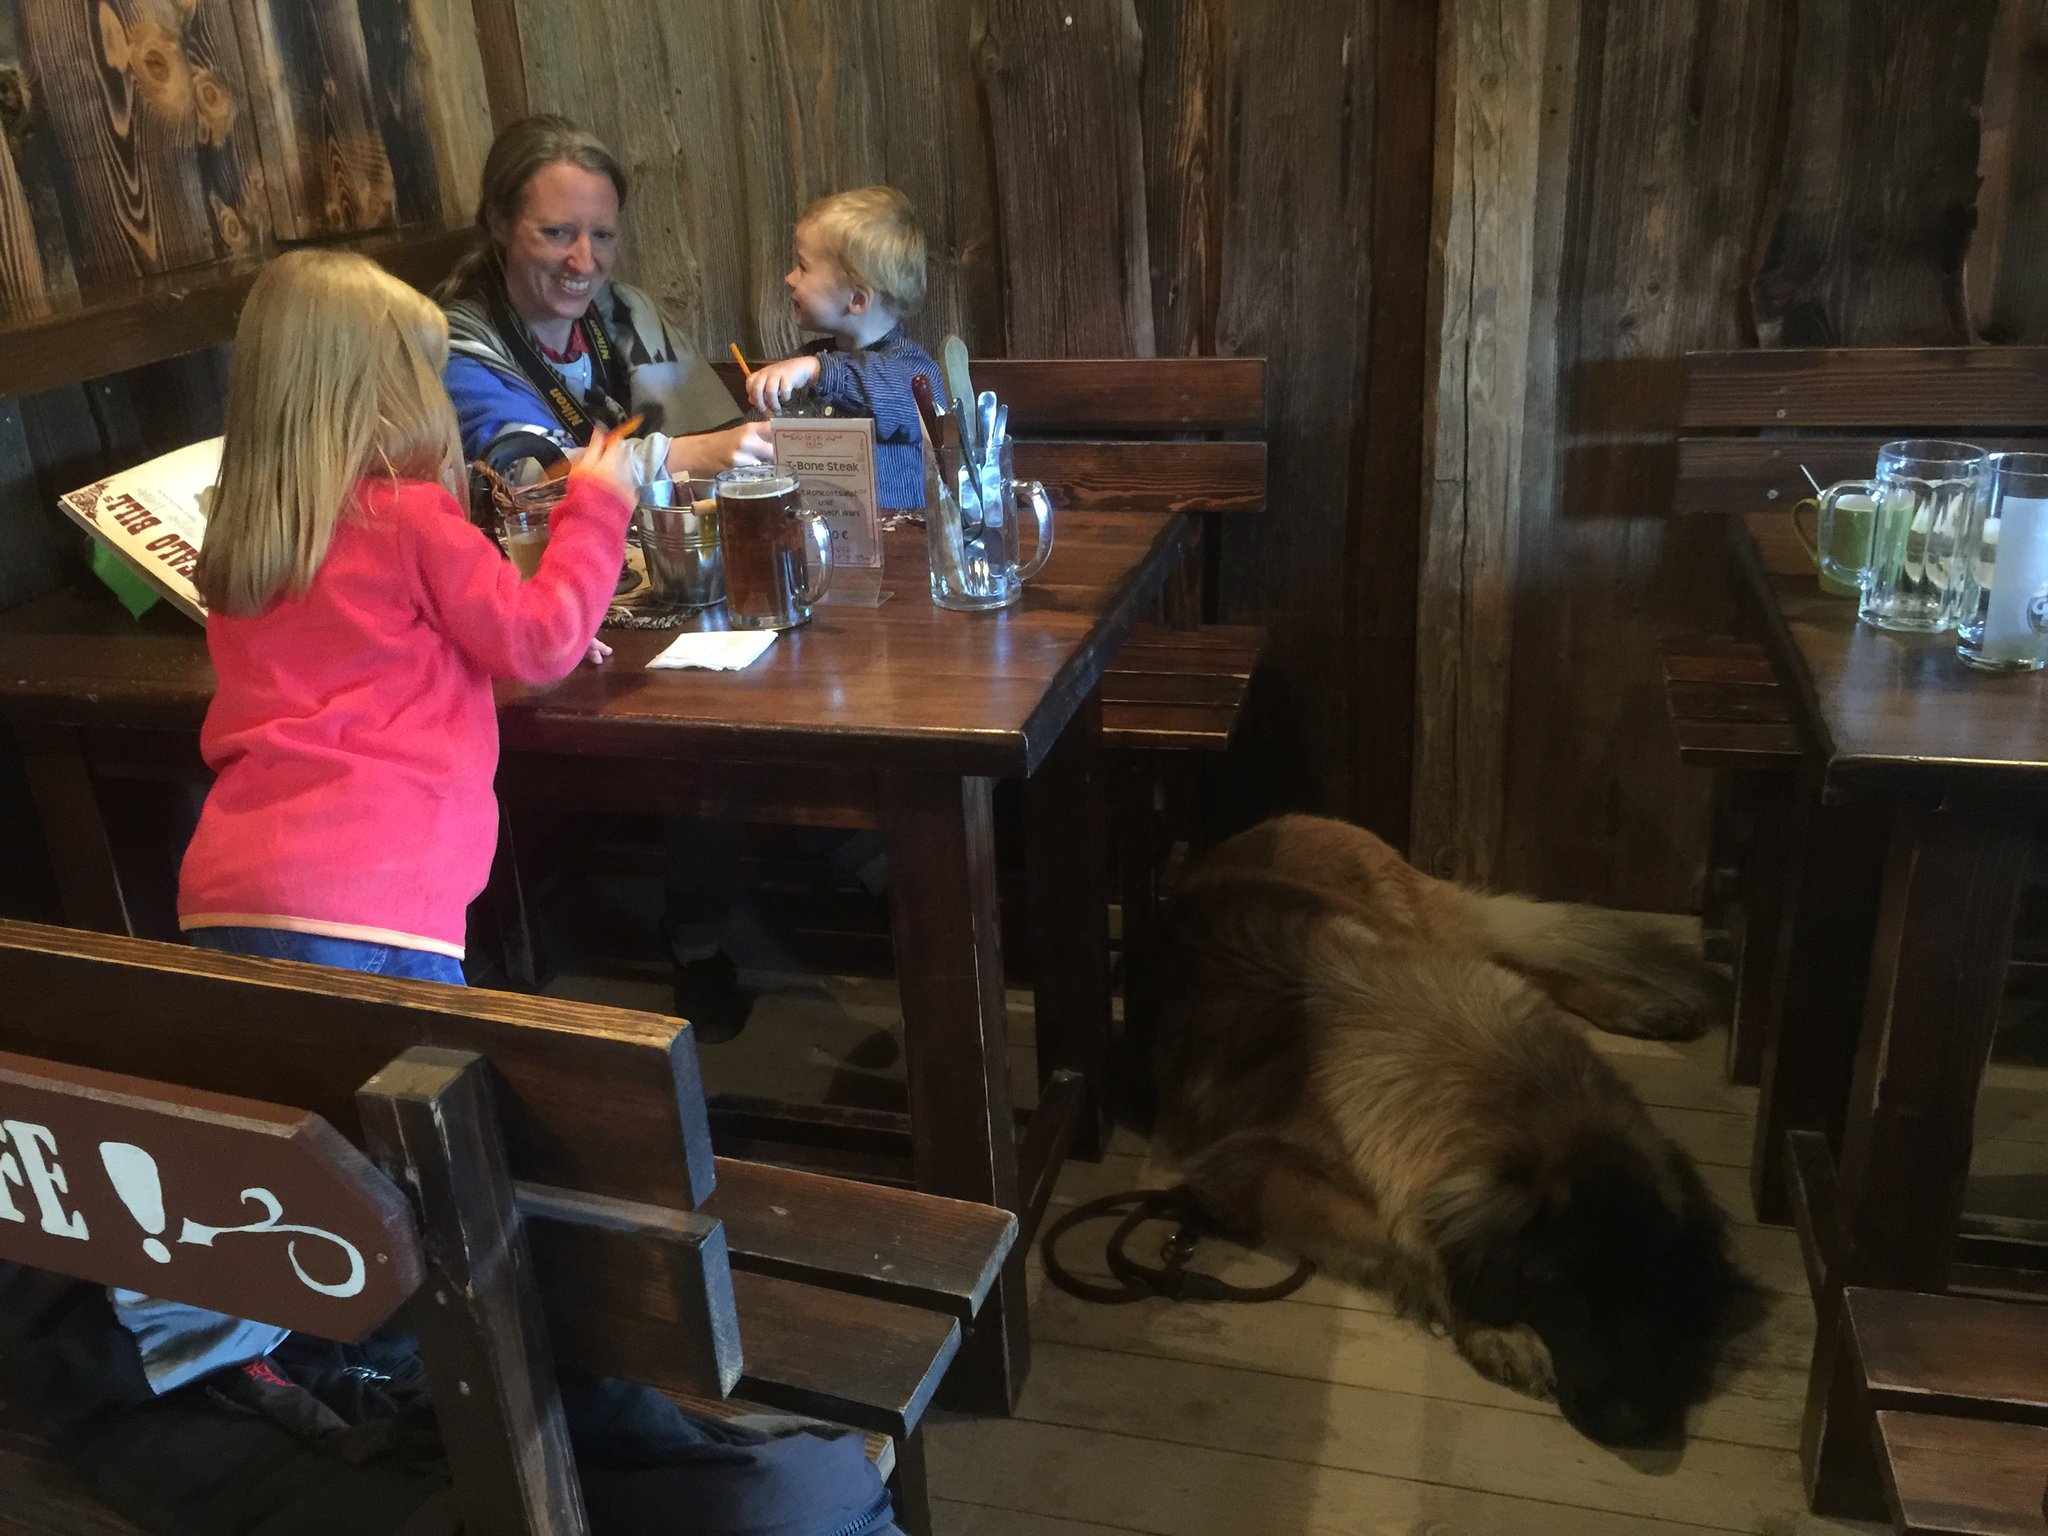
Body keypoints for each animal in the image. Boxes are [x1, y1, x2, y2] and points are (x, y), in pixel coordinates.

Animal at [1152, 814, 1742, 1447]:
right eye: (1558, 1287)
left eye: (1652, 1282)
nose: (1632, 1427)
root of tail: (1293, 818)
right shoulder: (1252, 1168)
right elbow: (1404, 1239)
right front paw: (1492, 1328)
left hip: (1428, 933)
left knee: (1524, 964)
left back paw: (1635, 1005)